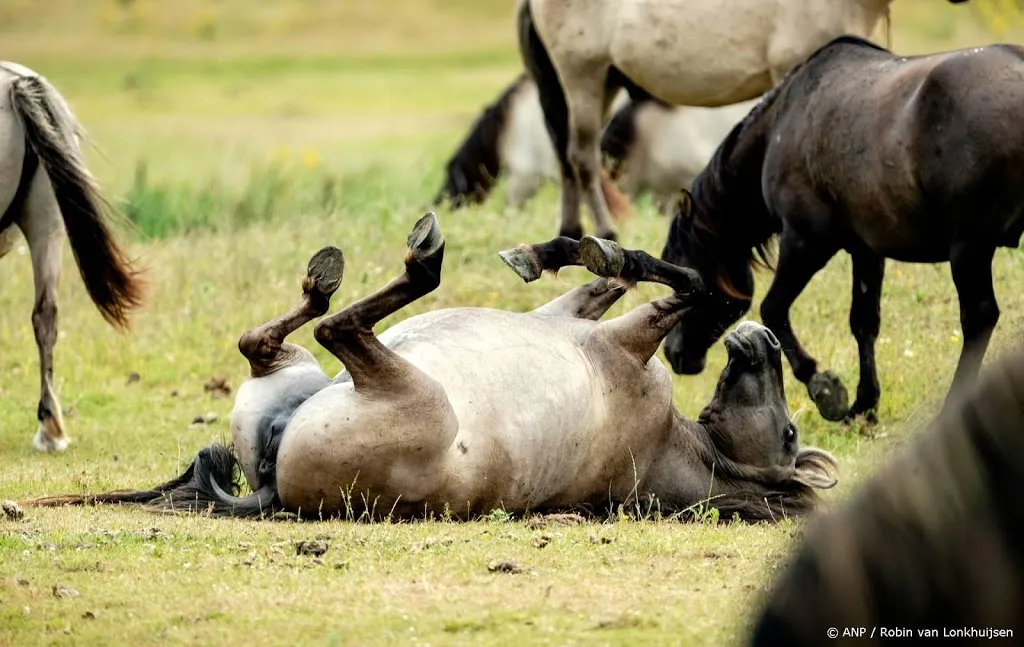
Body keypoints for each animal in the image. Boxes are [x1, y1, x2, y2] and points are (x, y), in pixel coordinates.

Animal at [28, 214, 835, 524]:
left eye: (791, 436)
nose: (761, 338)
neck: (670, 442)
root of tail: (272, 491)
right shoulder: (577, 317)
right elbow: (626, 271)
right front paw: (553, 250)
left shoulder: (626, 340)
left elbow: (690, 283)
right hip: (295, 374)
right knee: (268, 340)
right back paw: (328, 278)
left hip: (405, 389)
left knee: (339, 327)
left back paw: (402, 266)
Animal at [516, 0, 970, 241]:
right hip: (583, 75)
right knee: (581, 157)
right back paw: (605, 233)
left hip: (603, 80)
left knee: (566, 156)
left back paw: (571, 231)